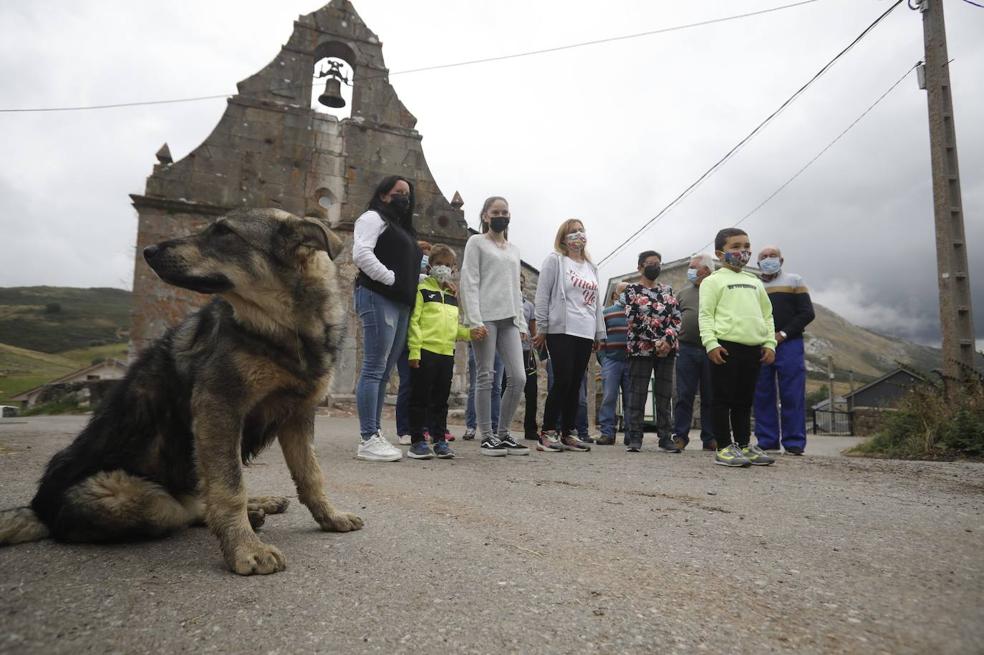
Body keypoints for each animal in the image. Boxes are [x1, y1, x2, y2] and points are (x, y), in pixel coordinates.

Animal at [0, 209, 364, 576]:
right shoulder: (218, 408)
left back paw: (260, 505)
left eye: (224, 233)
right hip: (138, 498)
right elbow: (229, 488)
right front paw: (245, 549)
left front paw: (329, 517)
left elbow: (311, 474)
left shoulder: (298, 414)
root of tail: (39, 509)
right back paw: (250, 512)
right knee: (188, 507)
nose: (148, 251)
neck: (284, 327)